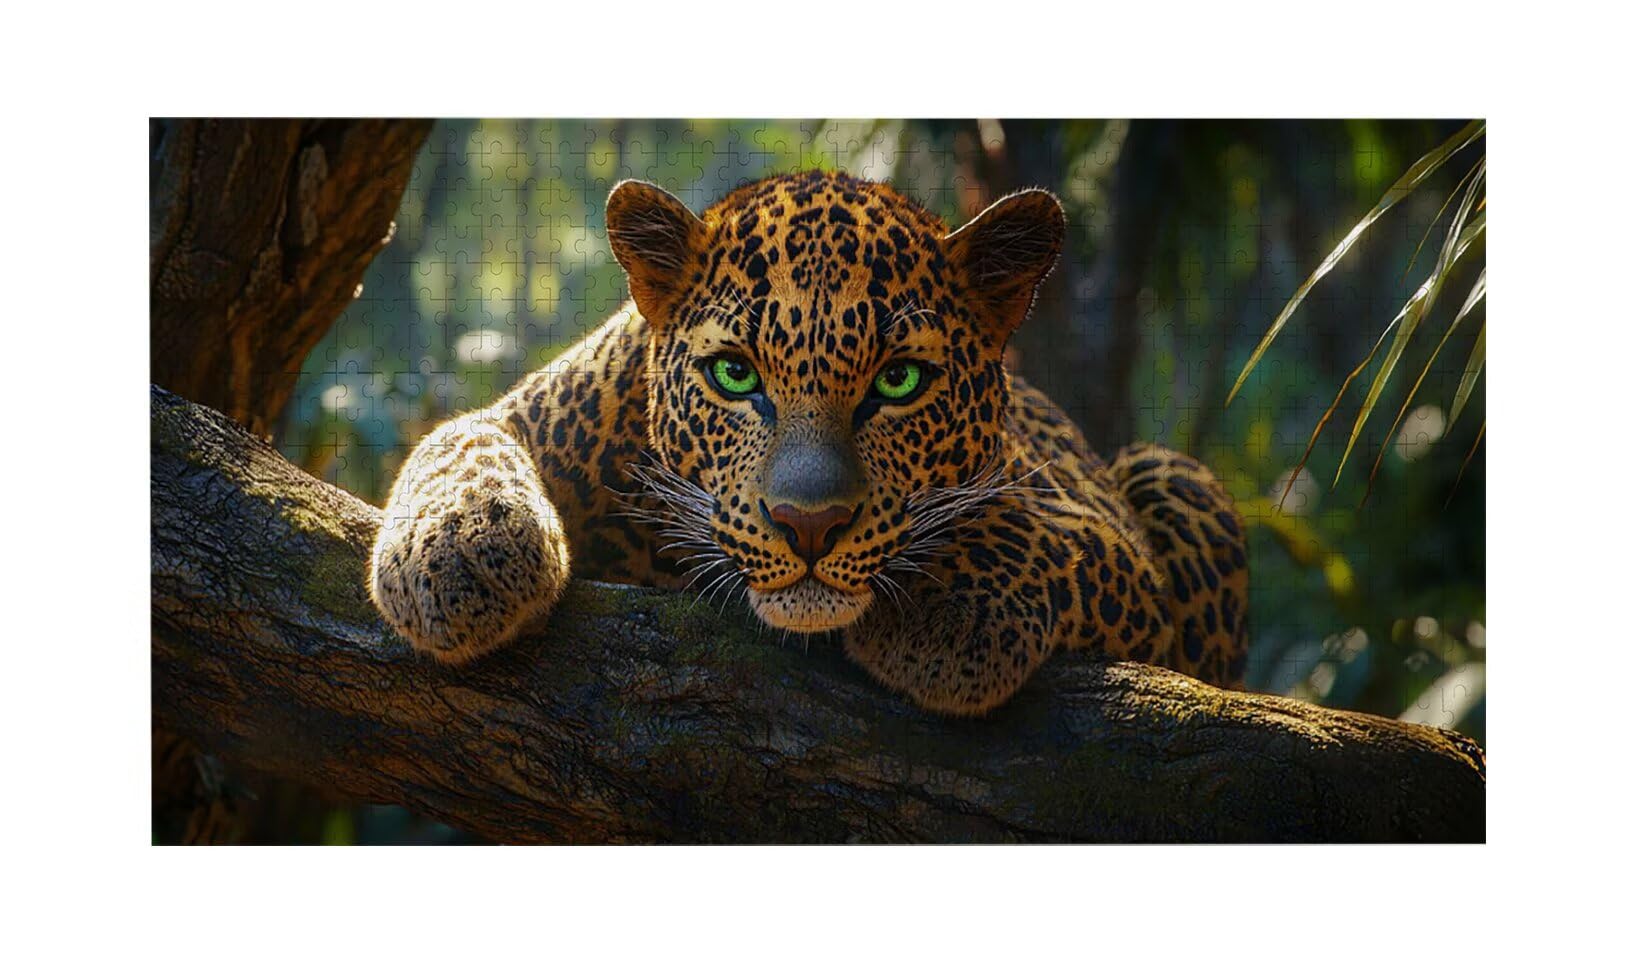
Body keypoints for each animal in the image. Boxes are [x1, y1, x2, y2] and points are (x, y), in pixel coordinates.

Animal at [369, 170, 1248, 716]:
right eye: (733, 373)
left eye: (898, 381)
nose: (809, 526)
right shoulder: (535, 412)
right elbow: (457, 442)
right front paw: (462, 549)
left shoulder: (1108, 538)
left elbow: (1031, 531)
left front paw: (947, 611)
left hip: (1164, 467)